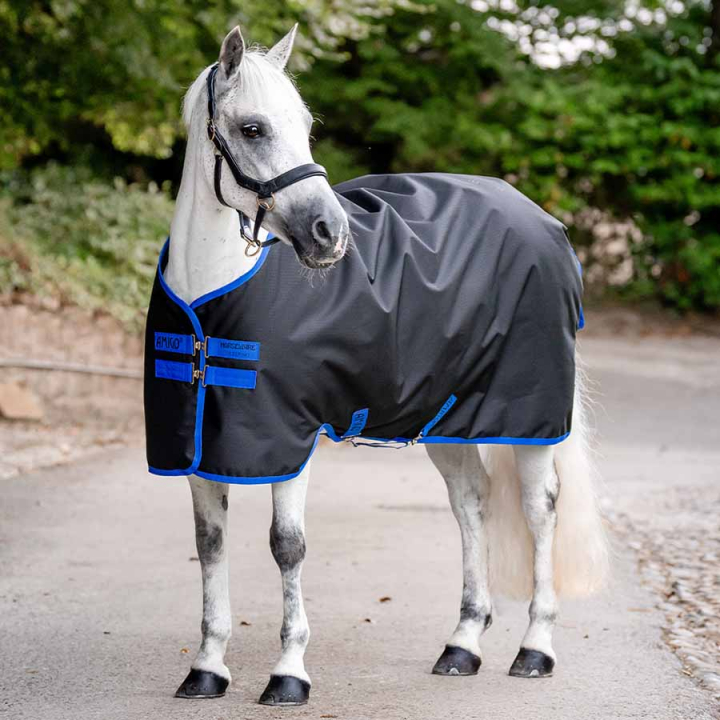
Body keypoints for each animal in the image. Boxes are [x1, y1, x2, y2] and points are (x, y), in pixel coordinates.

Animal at [150, 24, 609, 707]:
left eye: (306, 125)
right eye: (253, 128)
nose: (329, 233)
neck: (212, 300)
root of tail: (545, 222)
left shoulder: (291, 440)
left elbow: (287, 547)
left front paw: (288, 673)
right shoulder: (201, 447)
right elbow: (210, 547)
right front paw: (207, 668)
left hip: (529, 419)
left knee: (539, 509)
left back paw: (535, 649)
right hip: (448, 419)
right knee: (471, 503)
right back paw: (462, 645)